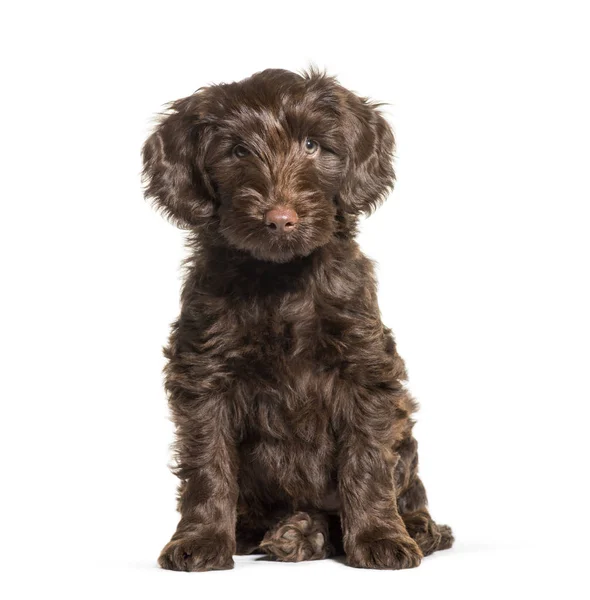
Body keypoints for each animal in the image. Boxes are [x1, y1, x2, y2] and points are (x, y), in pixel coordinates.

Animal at [142, 68, 454, 568]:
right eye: (238, 151)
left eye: (311, 145)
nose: (280, 219)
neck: (281, 277)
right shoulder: (204, 372)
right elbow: (207, 462)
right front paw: (201, 539)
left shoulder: (365, 368)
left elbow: (368, 460)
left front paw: (380, 537)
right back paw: (290, 532)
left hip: (403, 430)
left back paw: (403, 529)